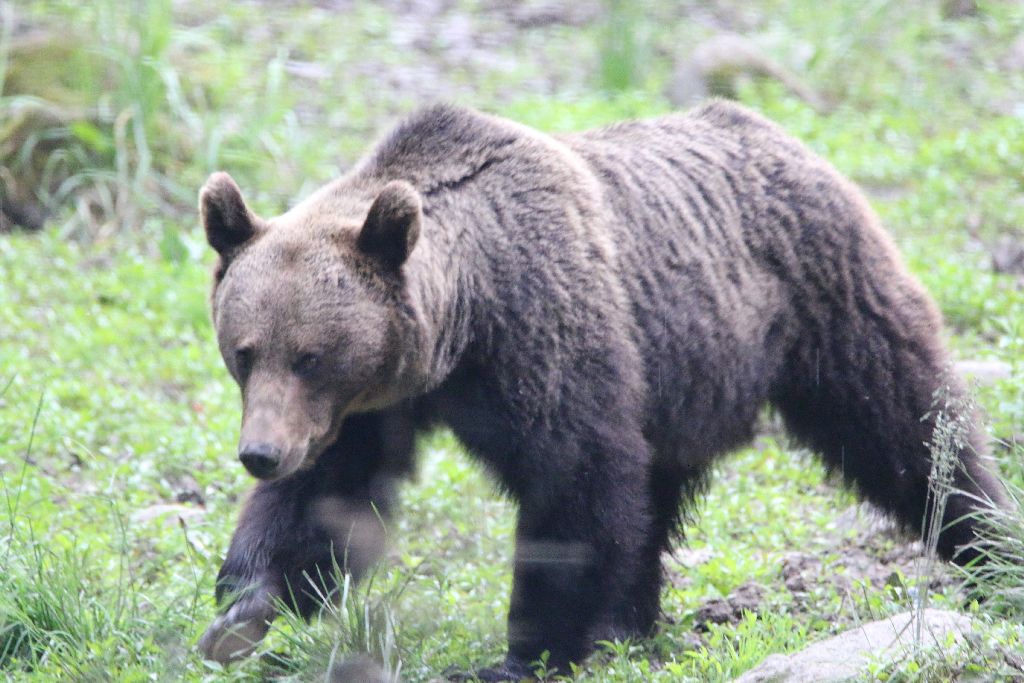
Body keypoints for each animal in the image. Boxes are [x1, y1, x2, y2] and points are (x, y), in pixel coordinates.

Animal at [195, 100, 1003, 679]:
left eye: (310, 355)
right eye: (246, 351)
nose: (260, 453)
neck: (463, 325)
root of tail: (789, 138)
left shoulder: (544, 331)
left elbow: (575, 479)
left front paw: (522, 652)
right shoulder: (372, 404)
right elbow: (326, 497)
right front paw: (243, 607)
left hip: (820, 303)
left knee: (906, 427)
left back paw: (988, 545)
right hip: (680, 377)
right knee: (655, 491)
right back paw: (631, 618)